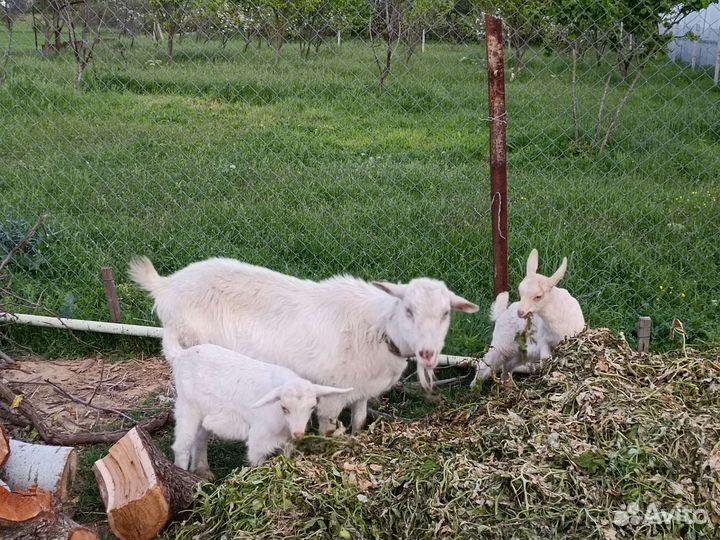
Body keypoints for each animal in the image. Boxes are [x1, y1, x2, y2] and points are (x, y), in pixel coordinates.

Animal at [129, 256, 478, 435]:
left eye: (446, 313)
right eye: (408, 310)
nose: (428, 354)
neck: (377, 328)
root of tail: (164, 285)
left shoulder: (361, 389)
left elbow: (360, 421)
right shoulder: (332, 395)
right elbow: (327, 427)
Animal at [168, 341, 352, 477]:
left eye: (312, 406)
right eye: (284, 408)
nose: (299, 434)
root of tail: (181, 355)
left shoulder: (287, 442)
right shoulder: (258, 439)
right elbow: (257, 461)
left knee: (200, 438)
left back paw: (203, 472)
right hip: (187, 405)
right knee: (182, 445)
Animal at [471, 249, 584, 385]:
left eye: (538, 296)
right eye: (521, 291)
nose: (520, 312)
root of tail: (502, 313)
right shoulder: (543, 341)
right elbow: (546, 359)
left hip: (520, 353)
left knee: (507, 367)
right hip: (500, 344)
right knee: (486, 365)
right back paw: (474, 387)